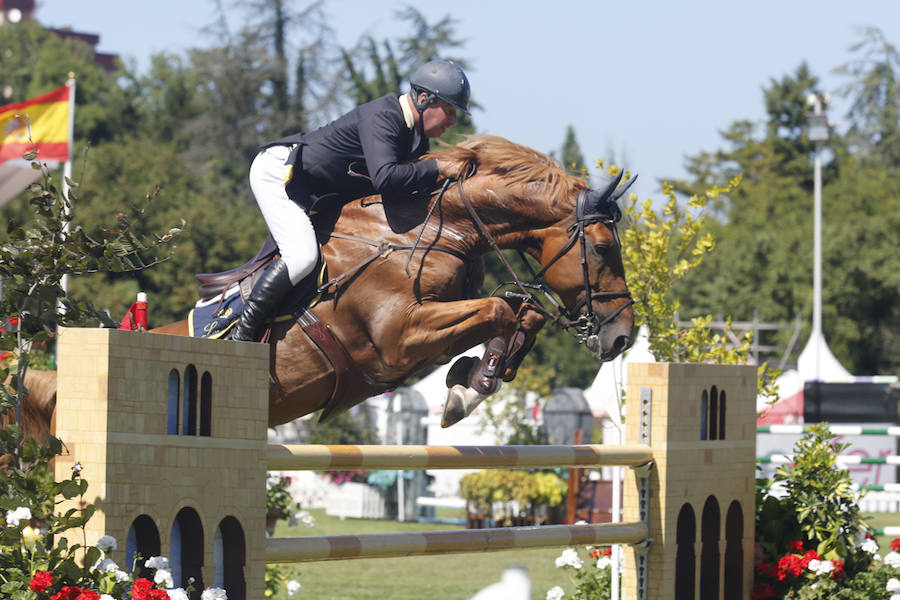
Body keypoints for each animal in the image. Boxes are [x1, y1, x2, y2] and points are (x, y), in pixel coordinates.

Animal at [10, 136, 636, 442]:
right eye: (604, 250)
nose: (623, 338)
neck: (428, 227)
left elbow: (519, 312)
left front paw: (471, 384)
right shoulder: (397, 339)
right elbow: (501, 311)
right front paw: (466, 388)